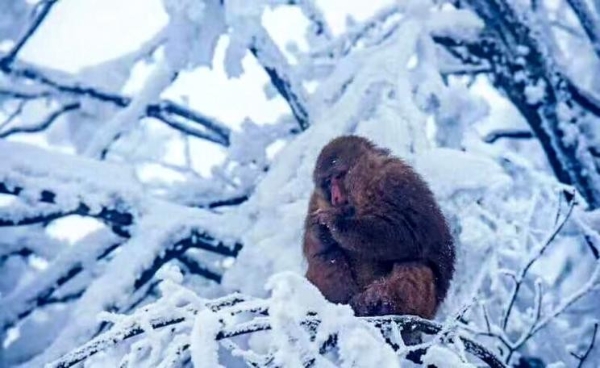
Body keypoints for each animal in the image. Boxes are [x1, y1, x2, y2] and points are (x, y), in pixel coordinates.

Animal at [304, 135, 454, 320]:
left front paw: (336, 222)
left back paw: (382, 303)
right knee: (328, 256)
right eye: (327, 182)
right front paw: (319, 232)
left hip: (426, 306)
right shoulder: (316, 201)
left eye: (339, 176)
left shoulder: (396, 181)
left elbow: (407, 235)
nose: (335, 197)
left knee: (413, 264)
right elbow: (313, 250)